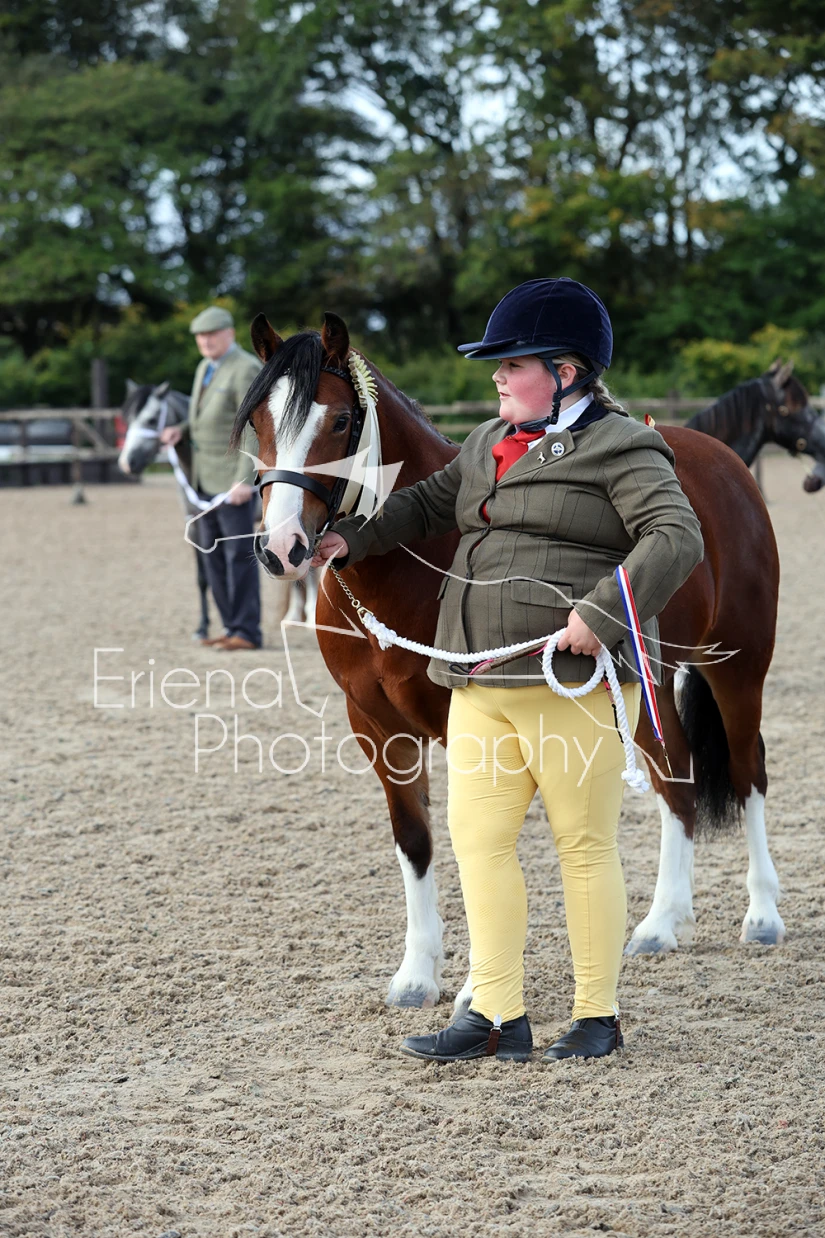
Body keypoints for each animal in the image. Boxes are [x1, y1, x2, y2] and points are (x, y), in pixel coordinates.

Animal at [117, 380, 319, 633]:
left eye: (152, 419)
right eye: (126, 419)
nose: (127, 463)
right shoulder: (196, 526)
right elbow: (204, 578)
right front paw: (203, 627)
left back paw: (309, 616)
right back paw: (293, 615)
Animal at [232, 311, 785, 1011]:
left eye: (338, 422)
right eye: (259, 421)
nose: (282, 547)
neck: (412, 570)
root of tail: (724, 462)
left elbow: (485, 841)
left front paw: (476, 990)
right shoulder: (377, 728)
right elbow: (416, 841)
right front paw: (417, 976)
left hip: (738, 667)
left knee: (747, 771)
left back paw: (762, 916)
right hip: (642, 686)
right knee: (677, 781)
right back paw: (662, 923)